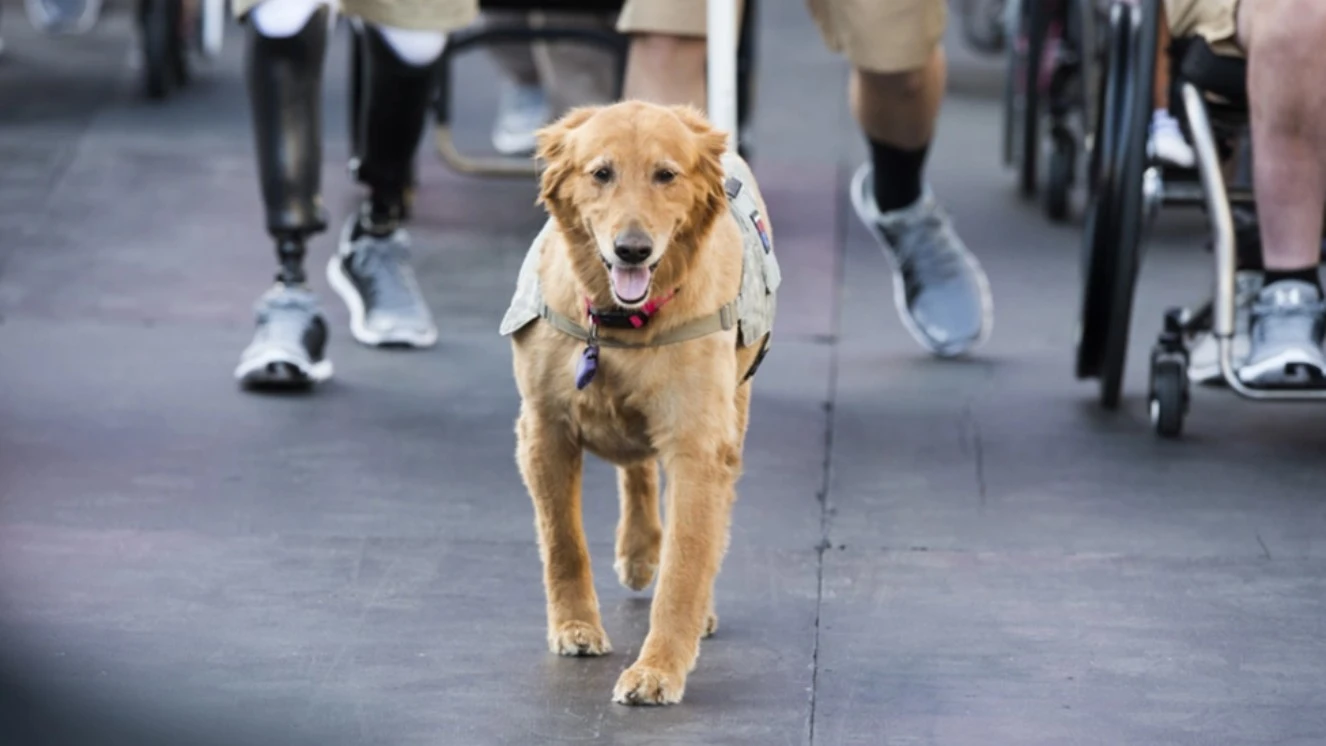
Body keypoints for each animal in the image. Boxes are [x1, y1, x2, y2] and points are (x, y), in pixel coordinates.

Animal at [501, 99, 779, 704]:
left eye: (666, 175)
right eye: (601, 173)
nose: (633, 249)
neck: (618, 322)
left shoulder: (699, 446)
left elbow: (685, 566)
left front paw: (659, 668)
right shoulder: (544, 429)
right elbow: (563, 540)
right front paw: (575, 626)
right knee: (636, 468)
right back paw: (637, 551)